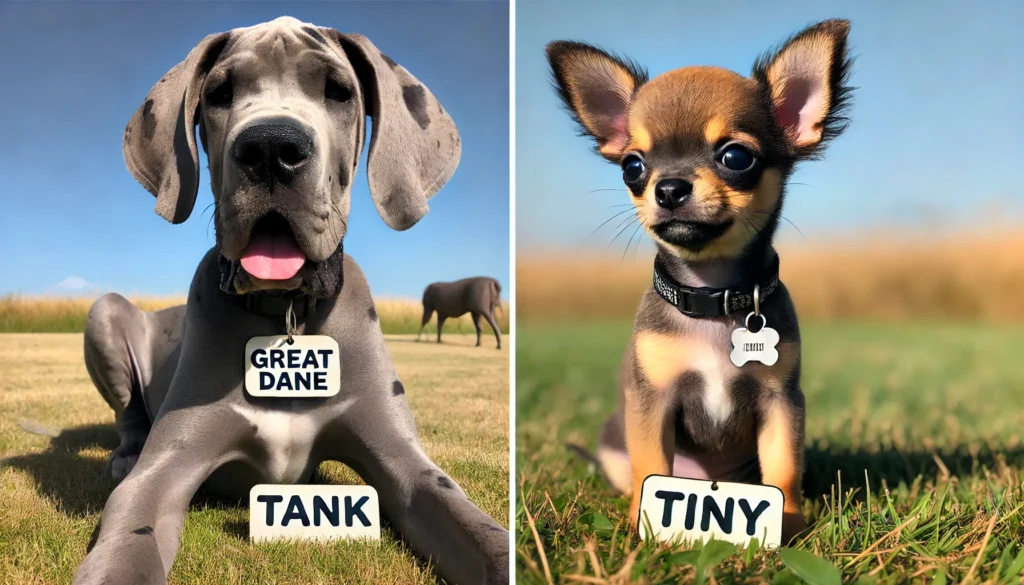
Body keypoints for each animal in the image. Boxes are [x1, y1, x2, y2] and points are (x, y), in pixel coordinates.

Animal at [77, 16, 509, 581]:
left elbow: (485, 538)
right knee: (128, 417)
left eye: (338, 91)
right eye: (219, 93)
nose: (269, 149)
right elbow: (127, 543)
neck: (285, 313)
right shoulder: (164, 469)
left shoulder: (409, 467)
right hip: (104, 310)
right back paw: (124, 453)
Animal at [548, 18, 851, 540]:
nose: (669, 188)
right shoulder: (651, 402)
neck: (712, 295)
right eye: (632, 166)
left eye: (736, 157)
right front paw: (645, 529)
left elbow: (784, 467)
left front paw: (787, 525)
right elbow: (650, 464)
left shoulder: (782, 403)